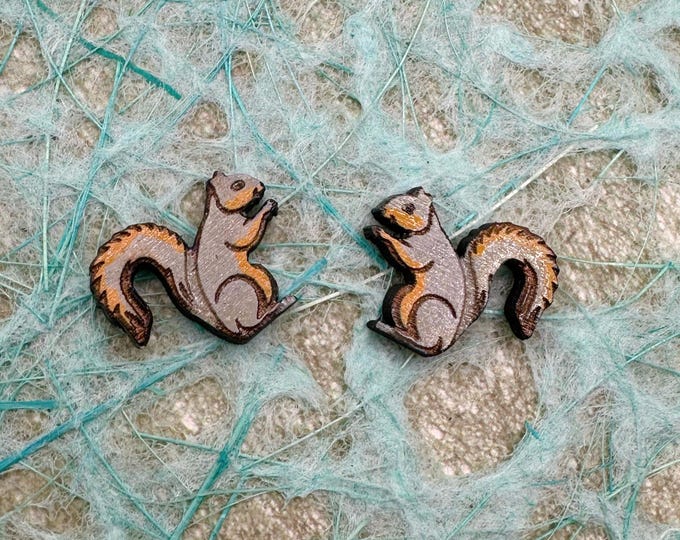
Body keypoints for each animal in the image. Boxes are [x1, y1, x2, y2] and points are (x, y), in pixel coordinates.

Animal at [90, 172, 296, 345]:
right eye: (238, 185)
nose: (261, 185)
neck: (222, 209)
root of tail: (216, 319)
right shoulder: (228, 229)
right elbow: (247, 233)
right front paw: (267, 206)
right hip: (240, 288)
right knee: (251, 323)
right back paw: (275, 309)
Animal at [364, 187, 559, 357]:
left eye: (409, 208)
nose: (378, 211)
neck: (425, 230)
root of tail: (451, 337)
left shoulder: (426, 250)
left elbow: (409, 255)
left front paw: (379, 232)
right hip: (402, 299)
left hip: (428, 307)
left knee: (425, 344)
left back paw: (396, 333)